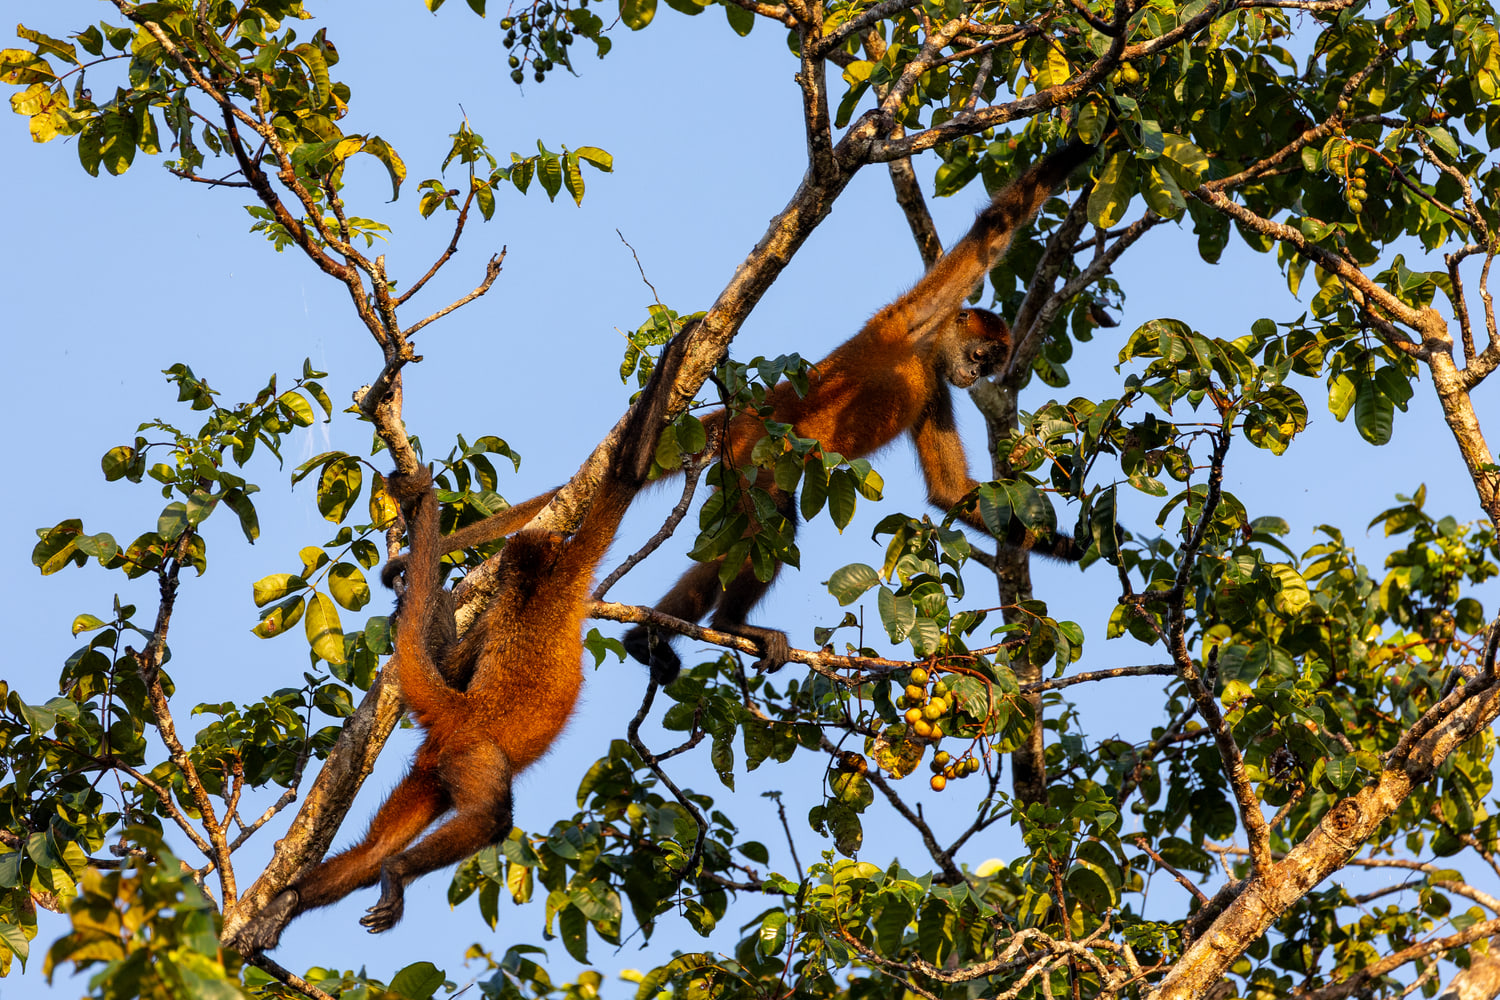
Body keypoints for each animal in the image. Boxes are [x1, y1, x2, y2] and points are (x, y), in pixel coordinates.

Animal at [231, 336, 686, 954]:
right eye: (553, 550)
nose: (548, 538)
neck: (531, 588)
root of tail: (461, 712)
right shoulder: (569, 571)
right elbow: (625, 476)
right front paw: (677, 349)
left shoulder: (506, 606)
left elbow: (449, 660)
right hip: (473, 756)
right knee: (492, 819)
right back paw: (396, 874)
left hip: (433, 765)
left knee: (374, 847)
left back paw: (291, 902)